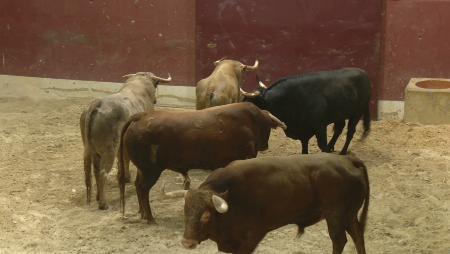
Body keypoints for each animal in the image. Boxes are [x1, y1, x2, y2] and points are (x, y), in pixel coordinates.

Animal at [116, 102, 284, 223]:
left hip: (142, 169)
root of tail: (140, 116)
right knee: (143, 189)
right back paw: (150, 217)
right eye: (268, 126)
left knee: (138, 186)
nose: (265, 146)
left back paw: (142, 214)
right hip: (151, 171)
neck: (249, 123)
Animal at [164, 153, 370, 254]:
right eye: (185, 212)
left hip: (335, 216)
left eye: (206, 215)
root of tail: (347, 159)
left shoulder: (250, 239)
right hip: (349, 215)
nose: (187, 243)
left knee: (340, 241)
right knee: (358, 236)